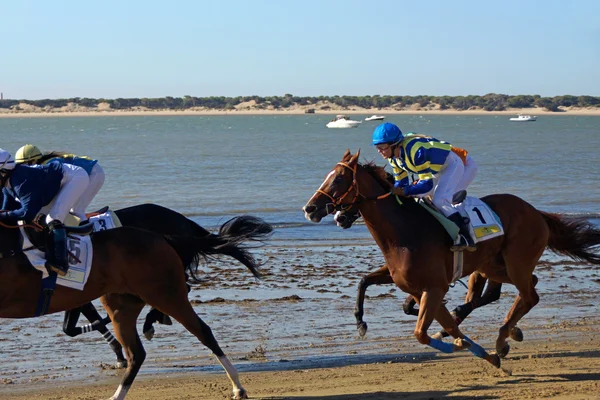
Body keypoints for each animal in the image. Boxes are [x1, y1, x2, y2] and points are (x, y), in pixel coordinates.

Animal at [0, 214, 272, 398]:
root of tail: (163, 238)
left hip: (166, 294)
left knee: (202, 331)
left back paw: (237, 387)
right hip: (122, 307)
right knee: (136, 354)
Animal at [304, 151, 600, 368]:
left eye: (339, 179)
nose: (310, 208)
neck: (404, 230)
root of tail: (536, 212)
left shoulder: (435, 286)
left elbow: (423, 326)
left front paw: (453, 337)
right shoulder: (411, 282)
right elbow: (365, 281)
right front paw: (361, 323)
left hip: (516, 262)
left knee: (529, 296)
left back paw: (502, 337)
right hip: (492, 265)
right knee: (521, 287)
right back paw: (508, 333)